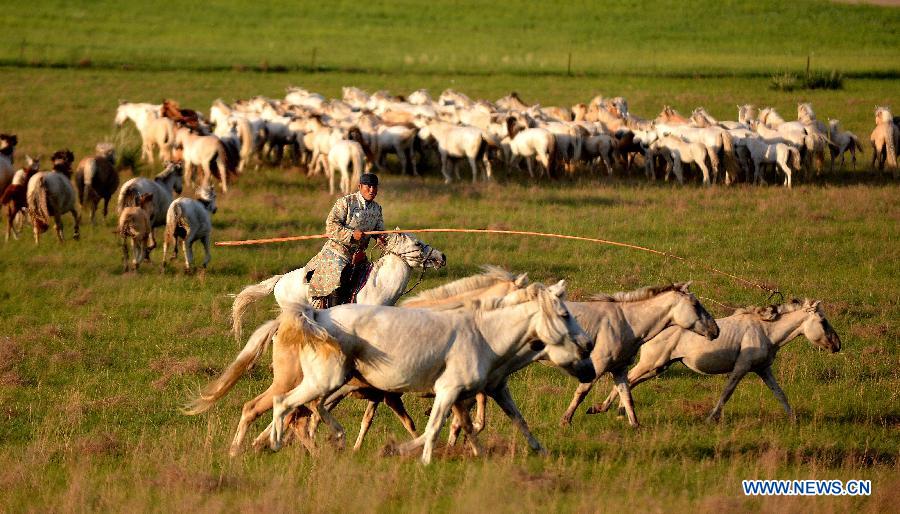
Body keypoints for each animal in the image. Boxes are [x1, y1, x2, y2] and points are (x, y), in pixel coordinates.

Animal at [264, 280, 596, 464]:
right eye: (564, 315)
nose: (588, 348)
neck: (484, 335)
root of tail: (316, 315)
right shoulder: (449, 392)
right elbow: (434, 428)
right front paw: (420, 460)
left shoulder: (480, 392)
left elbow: (512, 421)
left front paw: (539, 452)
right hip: (326, 380)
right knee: (285, 404)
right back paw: (276, 444)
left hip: (333, 382)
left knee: (309, 408)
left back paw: (335, 438)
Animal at [560, 282, 720, 426]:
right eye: (695, 305)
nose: (716, 330)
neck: (625, 323)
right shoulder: (599, 365)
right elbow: (581, 392)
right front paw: (566, 421)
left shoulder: (619, 368)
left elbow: (627, 396)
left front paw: (635, 425)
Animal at [596, 298, 840, 422]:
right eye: (823, 321)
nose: (837, 345)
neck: (765, 330)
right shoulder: (741, 368)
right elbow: (726, 393)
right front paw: (710, 418)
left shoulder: (763, 369)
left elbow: (780, 394)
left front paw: (794, 419)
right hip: (651, 363)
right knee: (627, 379)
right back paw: (603, 408)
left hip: (659, 367)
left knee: (630, 381)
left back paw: (616, 411)